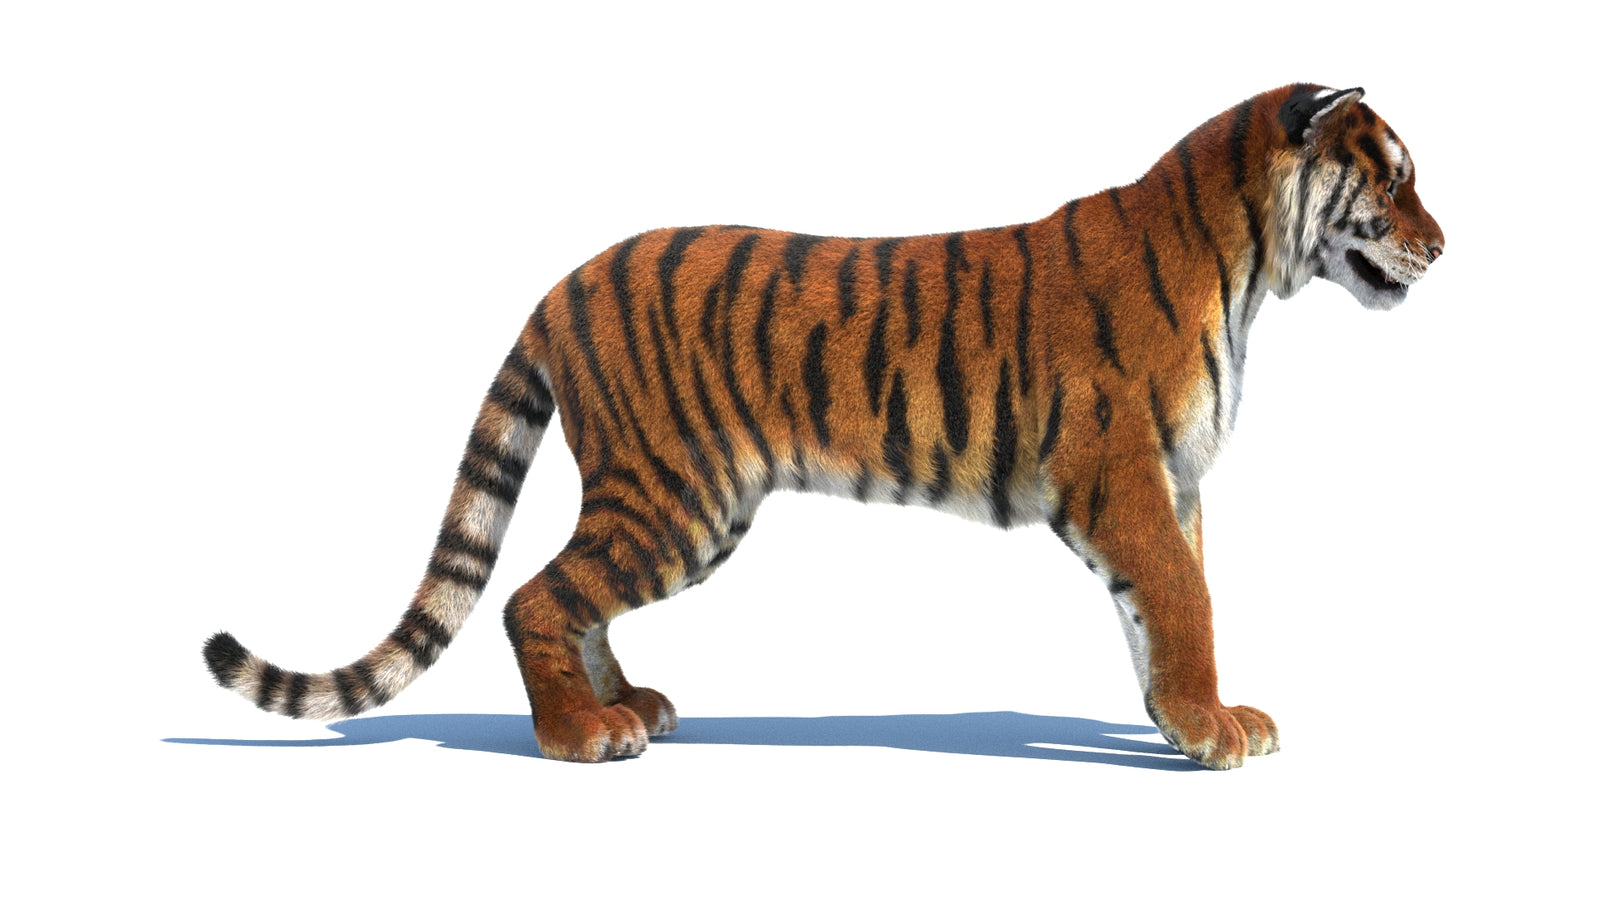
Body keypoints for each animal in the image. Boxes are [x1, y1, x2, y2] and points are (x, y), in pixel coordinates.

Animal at [203, 83, 1444, 770]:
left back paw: (626, 705)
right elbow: (1184, 603)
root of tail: (560, 284)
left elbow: (1170, 605)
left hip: (686, 507)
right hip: (676, 498)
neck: (1250, 263)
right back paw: (581, 736)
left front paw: (1179, 718)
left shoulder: (1175, 485)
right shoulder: (1125, 476)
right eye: (1391, 181)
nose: (1443, 245)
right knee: (532, 596)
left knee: (569, 593)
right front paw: (1208, 728)